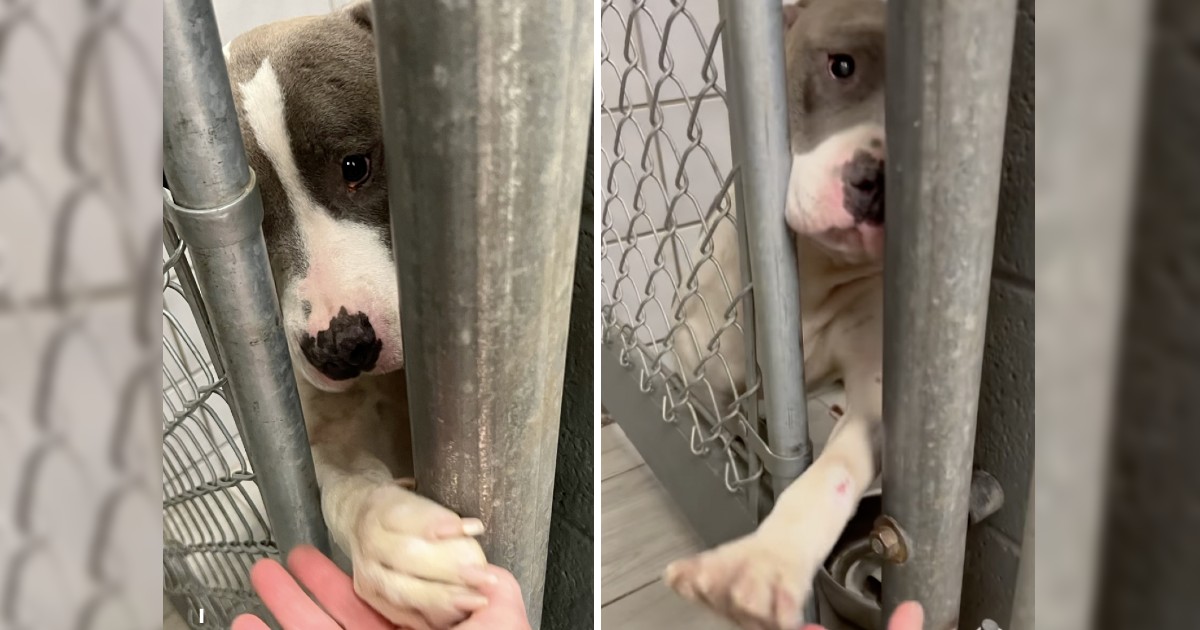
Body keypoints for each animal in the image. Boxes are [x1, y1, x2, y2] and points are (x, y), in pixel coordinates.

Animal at [220, 2, 492, 624]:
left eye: (354, 166)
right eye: (253, 219)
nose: (341, 345)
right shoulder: (325, 433)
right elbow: (339, 489)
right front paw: (398, 548)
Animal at [672, 1, 888, 628]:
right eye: (842, 65)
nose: (878, 183)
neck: (815, 272)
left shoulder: (873, 391)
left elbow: (832, 473)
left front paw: (764, 565)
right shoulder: (706, 369)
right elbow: (722, 436)